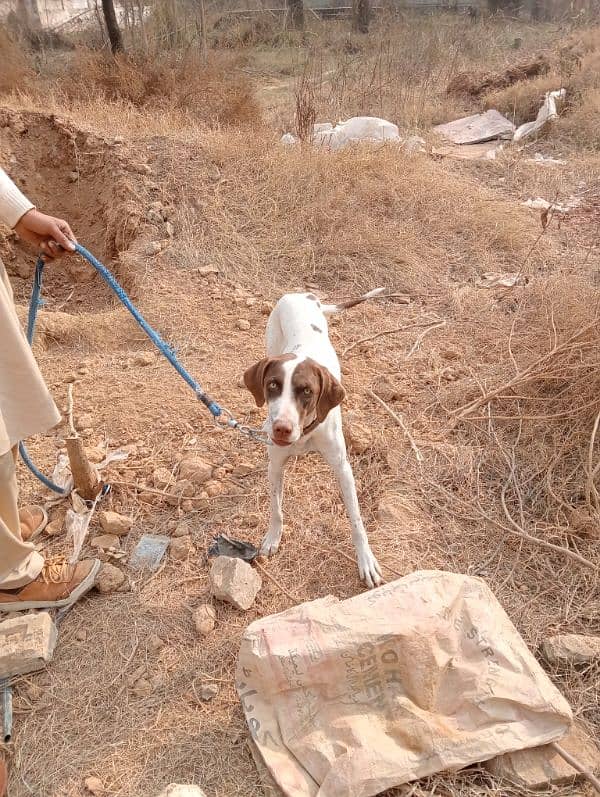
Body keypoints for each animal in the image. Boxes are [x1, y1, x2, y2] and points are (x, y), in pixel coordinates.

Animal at [244, 286, 384, 584]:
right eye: (272, 385)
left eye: (307, 390)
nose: (280, 428)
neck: (304, 434)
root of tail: (302, 295)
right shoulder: (275, 466)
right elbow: (276, 509)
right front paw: (272, 538)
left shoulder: (343, 468)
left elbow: (356, 520)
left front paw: (366, 560)